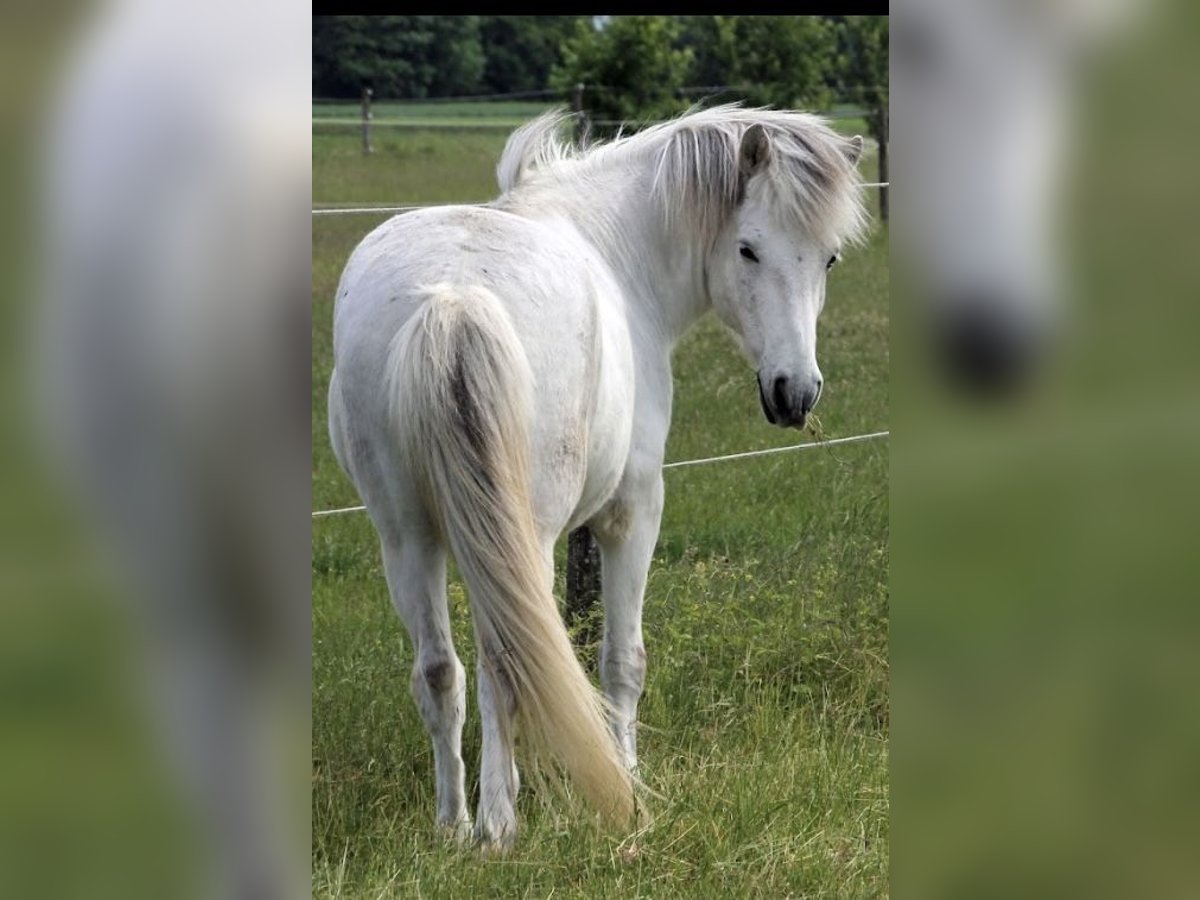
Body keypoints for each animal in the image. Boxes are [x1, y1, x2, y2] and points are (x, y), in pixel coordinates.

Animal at [327, 104, 868, 848]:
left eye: (829, 258)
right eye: (748, 250)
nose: (796, 393)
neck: (615, 247)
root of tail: (455, 299)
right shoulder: (631, 513)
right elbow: (621, 660)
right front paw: (628, 779)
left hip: (405, 536)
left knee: (441, 670)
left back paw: (454, 825)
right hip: (524, 536)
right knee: (507, 661)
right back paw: (499, 827)